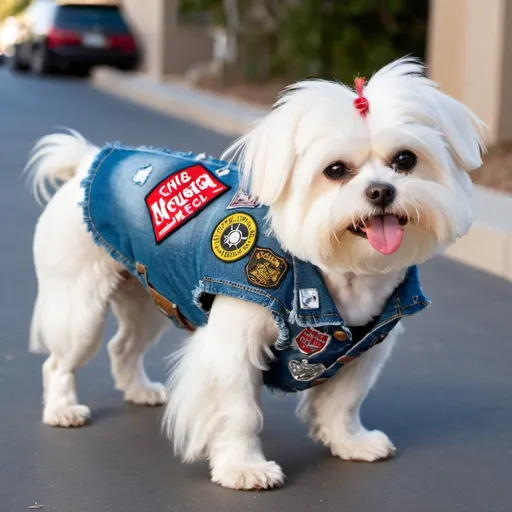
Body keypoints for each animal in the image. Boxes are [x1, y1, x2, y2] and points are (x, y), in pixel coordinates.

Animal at [26, 58, 486, 490]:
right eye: (335, 170)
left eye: (405, 160)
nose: (381, 191)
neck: (337, 272)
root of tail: (89, 159)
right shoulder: (232, 350)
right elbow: (238, 413)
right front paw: (242, 468)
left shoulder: (367, 349)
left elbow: (343, 402)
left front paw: (349, 441)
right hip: (80, 311)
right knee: (58, 364)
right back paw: (62, 409)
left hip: (149, 299)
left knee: (122, 347)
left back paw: (138, 390)